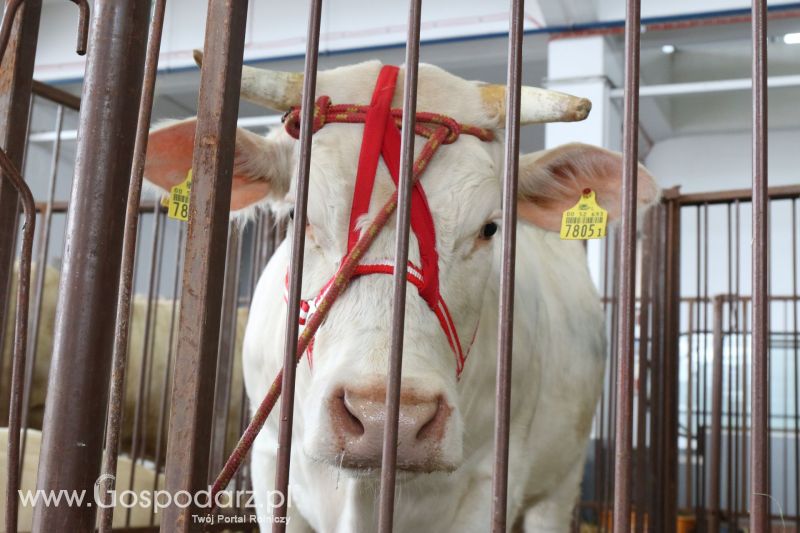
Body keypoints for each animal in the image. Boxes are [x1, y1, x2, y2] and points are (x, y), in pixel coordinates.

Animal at [144, 60, 656, 528]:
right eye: (295, 216)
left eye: (489, 228)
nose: (387, 419)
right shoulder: (270, 460)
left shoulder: (493, 479)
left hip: (559, 482)